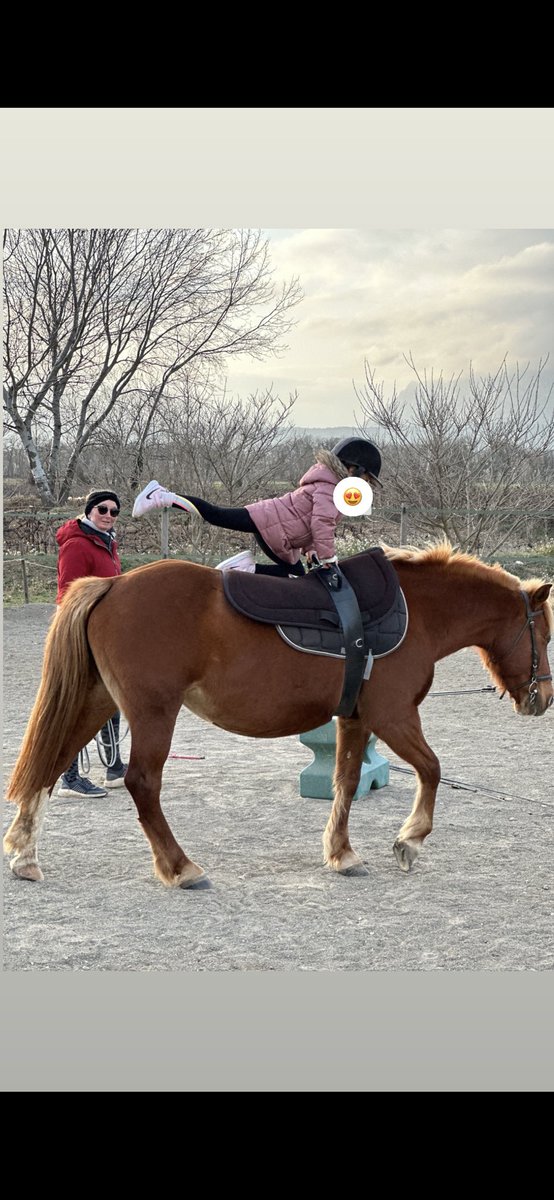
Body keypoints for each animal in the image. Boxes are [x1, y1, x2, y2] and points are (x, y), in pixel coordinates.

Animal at [4, 543, 552, 889]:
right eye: (544, 634)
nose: (542, 697)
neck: (416, 612)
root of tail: (114, 583)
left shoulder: (355, 719)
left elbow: (345, 782)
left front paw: (341, 853)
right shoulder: (395, 716)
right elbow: (432, 769)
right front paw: (409, 840)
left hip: (97, 702)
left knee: (51, 764)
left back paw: (25, 855)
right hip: (153, 712)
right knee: (142, 783)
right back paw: (181, 868)